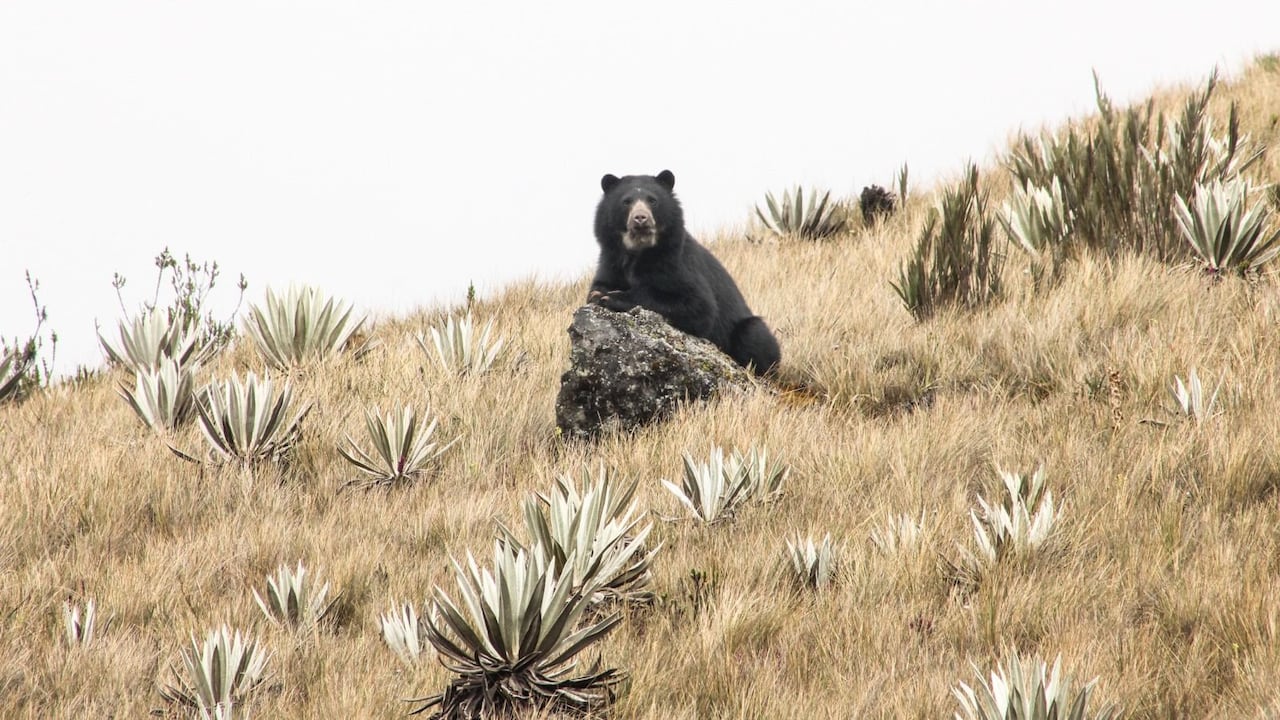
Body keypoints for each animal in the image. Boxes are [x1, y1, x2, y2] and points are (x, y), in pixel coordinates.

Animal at [588, 170, 781, 375]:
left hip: (749, 330)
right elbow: (599, 285)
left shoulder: (676, 263)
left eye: (652, 200)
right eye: (626, 201)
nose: (640, 218)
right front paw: (599, 293)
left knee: (753, 335)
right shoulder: (610, 261)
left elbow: (699, 306)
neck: (638, 253)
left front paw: (611, 297)